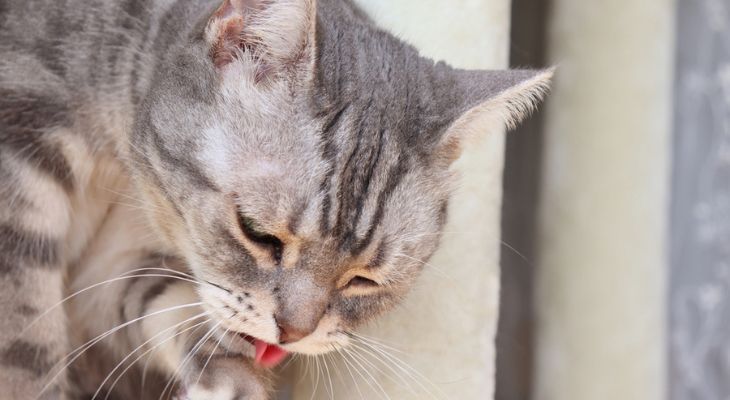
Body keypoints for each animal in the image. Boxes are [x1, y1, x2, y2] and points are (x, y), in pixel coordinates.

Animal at [0, 0, 548, 398]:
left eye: (363, 280)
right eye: (259, 234)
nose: (292, 335)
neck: (127, 181)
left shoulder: (115, 272)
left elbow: (168, 304)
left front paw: (231, 375)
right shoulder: (20, 158)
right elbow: (25, 344)